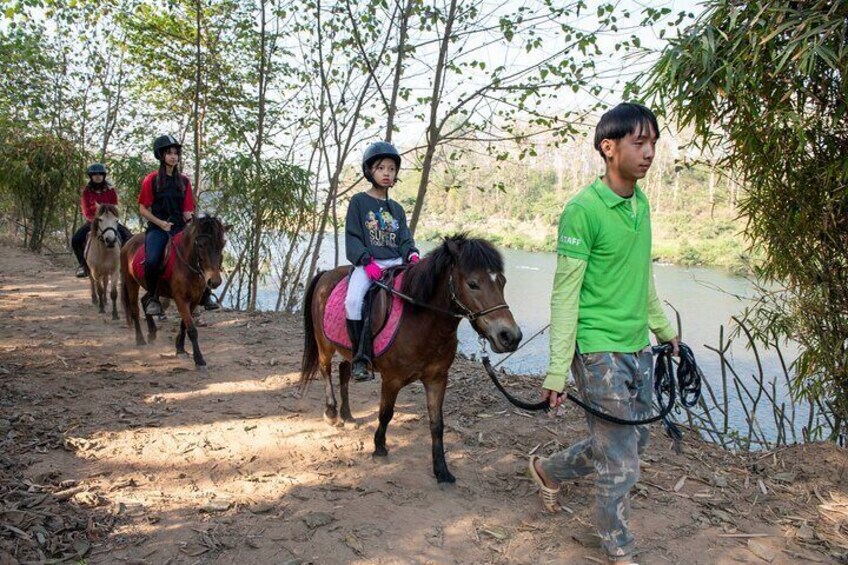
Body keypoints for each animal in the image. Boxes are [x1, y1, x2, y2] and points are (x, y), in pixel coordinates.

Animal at [120, 214, 225, 368]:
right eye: (200, 245)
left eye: (222, 244)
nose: (214, 281)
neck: (187, 265)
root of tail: (128, 243)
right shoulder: (180, 299)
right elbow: (192, 329)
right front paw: (199, 359)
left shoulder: (194, 300)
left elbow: (184, 325)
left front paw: (180, 348)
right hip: (131, 282)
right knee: (135, 310)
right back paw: (140, 340)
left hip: (153, 289)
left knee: (146, 301)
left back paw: (152, 333)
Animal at [302, 232, 520, 480]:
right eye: (473, 284)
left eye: (502, 281)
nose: (510, 336)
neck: (420, 320)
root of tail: (326, 275)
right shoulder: (392, 380)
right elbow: (386, 414)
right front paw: (379, 447)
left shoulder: (437, 379)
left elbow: (437, 424)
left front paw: (441, 470)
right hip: (324, 345)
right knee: (325, 370)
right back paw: (331, 413)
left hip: (350, 351)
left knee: (344, 372)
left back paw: (347, 417)